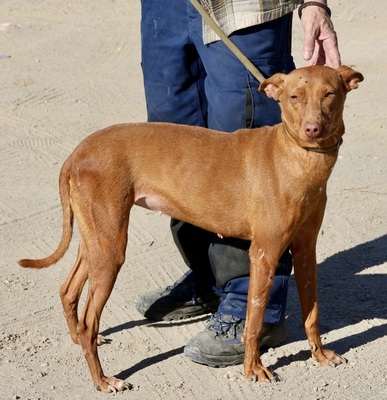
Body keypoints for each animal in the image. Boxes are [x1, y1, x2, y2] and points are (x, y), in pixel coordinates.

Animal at [18, 65, 364, 390]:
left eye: (329, 94)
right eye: (295, 97)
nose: (313, 129)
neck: (296, 159)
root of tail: (78, 152)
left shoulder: (305, 250)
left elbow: (312, 313)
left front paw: (320, 354)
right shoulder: (264, 254)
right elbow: (253, 322)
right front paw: (253, 369)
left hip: (96, 241)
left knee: (67, 291)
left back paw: (78, 342)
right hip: (110, 248)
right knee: (89, 322)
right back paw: (102, 380)